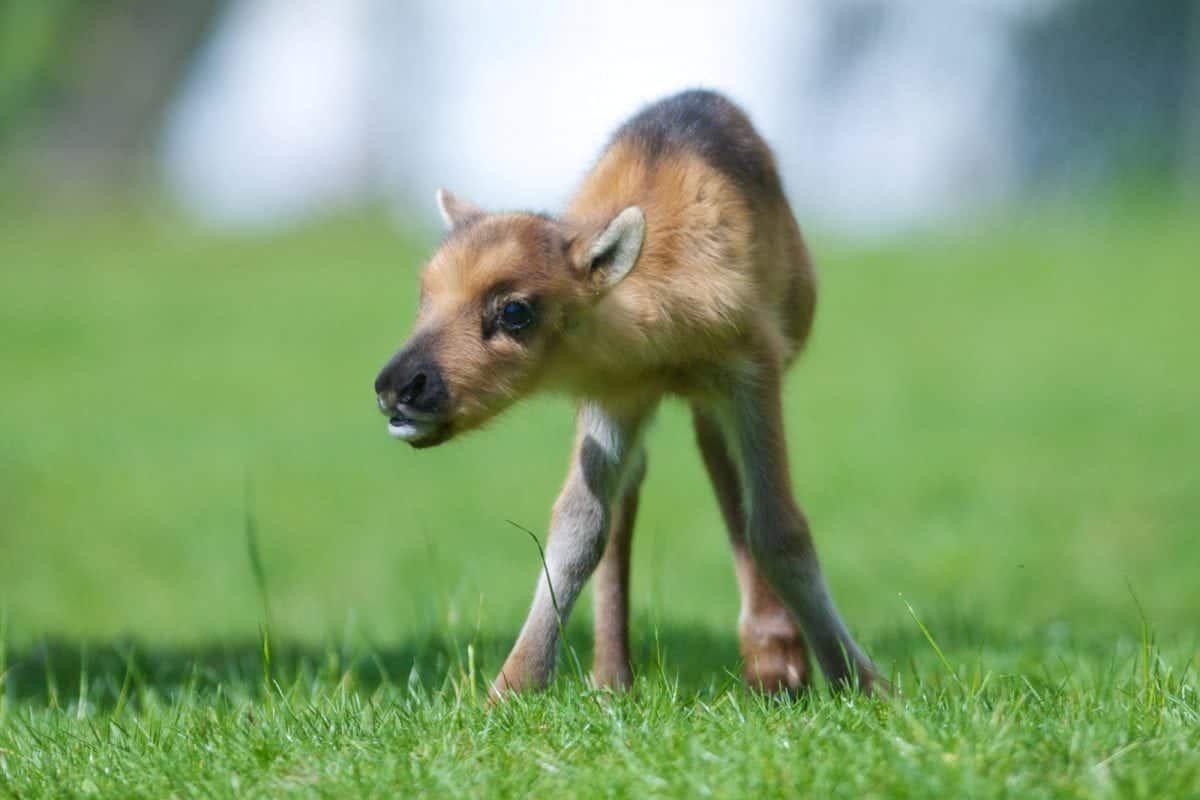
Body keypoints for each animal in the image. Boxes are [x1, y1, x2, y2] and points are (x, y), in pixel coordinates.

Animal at [374, 90, 883, 695]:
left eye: (515, 311)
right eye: (424, 293)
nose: (395, 388)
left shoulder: (753, 370)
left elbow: (779, 529)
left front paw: (861, 680)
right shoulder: (615, 396)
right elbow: (579, 527)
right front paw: (512, 686)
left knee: (723, 473)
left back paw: (772, 662)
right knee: (634, 497)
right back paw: (614, 675)